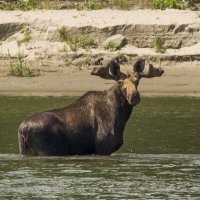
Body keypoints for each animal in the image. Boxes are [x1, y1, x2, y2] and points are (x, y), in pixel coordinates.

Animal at [17, 58, 164, 155]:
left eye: (137, 80)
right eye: (120, 82)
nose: (134, 97)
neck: (121, 117)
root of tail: (23, 129)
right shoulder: (103, 147)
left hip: (26, 151)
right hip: (48, 150)